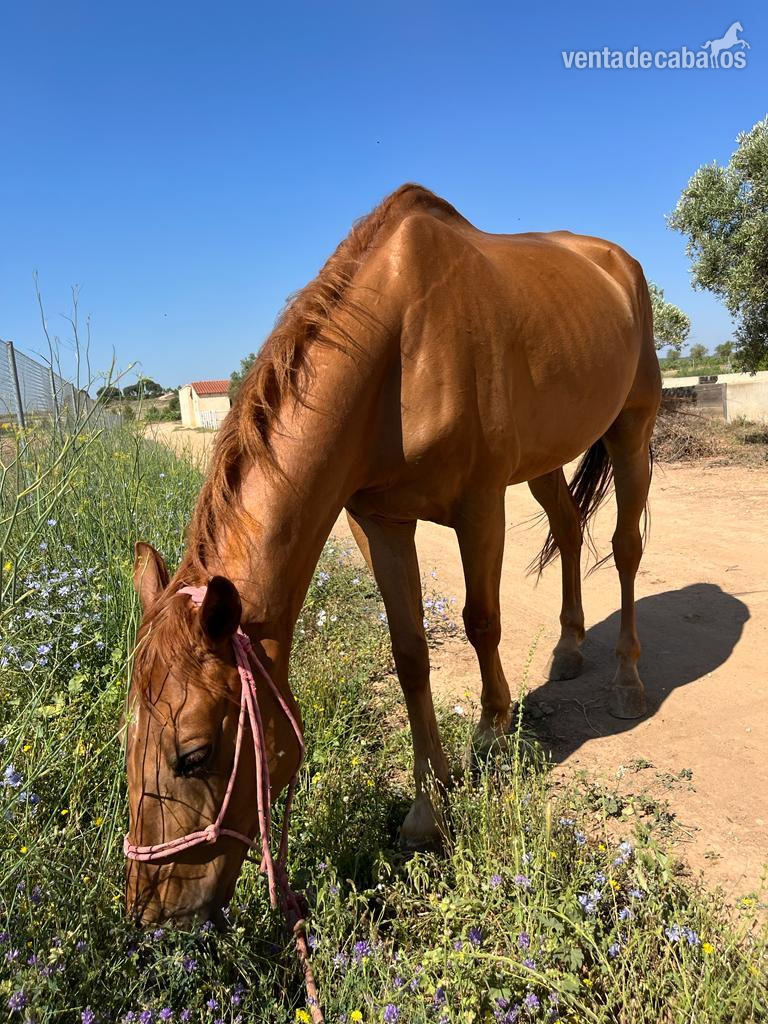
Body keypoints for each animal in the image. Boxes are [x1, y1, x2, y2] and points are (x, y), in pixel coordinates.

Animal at [124, 183, 661, 926]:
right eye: (126, 741)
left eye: (195, 755)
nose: (151, 913)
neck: (401, 347)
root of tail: (618, 263)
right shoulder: (379, 520)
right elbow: (409, 653)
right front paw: (428, 807)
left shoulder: (479, 505)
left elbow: (481, 621)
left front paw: (490, 737)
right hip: (546, 456)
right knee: (570, 529)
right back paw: (569, 648)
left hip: (633, 427)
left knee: (626, 547)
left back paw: (627, 681)